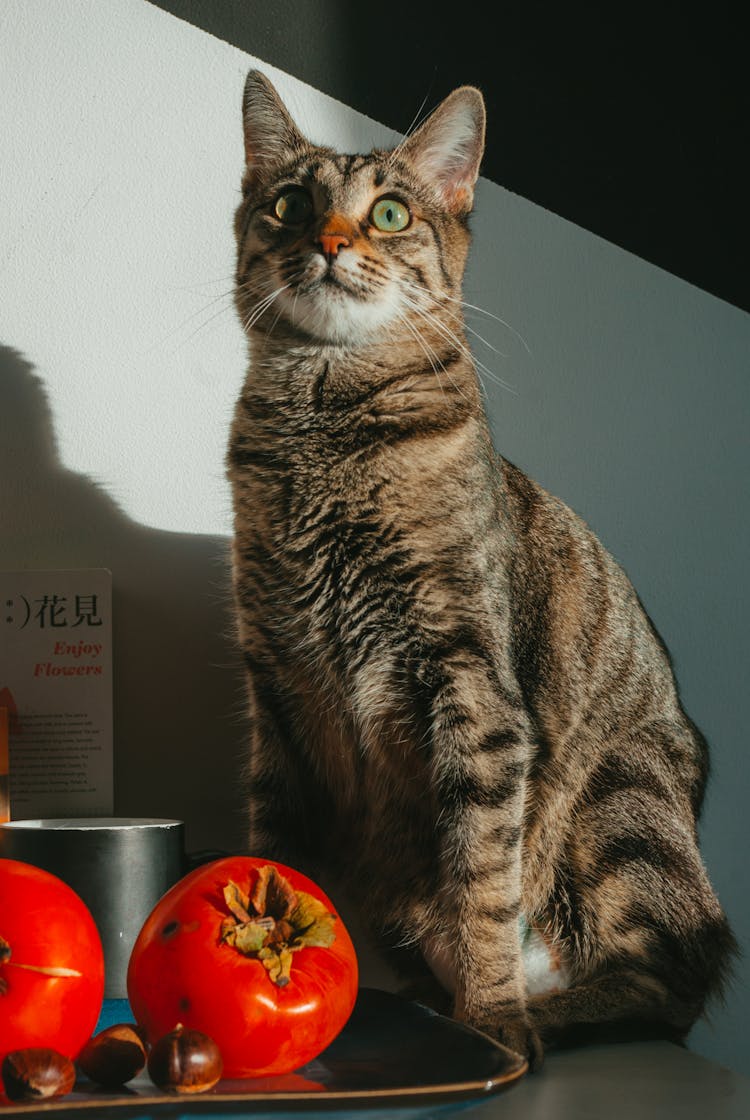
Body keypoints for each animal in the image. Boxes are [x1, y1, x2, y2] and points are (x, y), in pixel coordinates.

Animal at [227, 70, 734, 1066]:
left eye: (388, 212)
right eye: (290, 204)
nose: (330, 242)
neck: (321, 436)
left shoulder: (469, 680)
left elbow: (482, 874)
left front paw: (492, 1011)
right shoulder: (276, 687)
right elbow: (277, 852)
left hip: (621, 803)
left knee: (670, 986)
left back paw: (538, 1014)